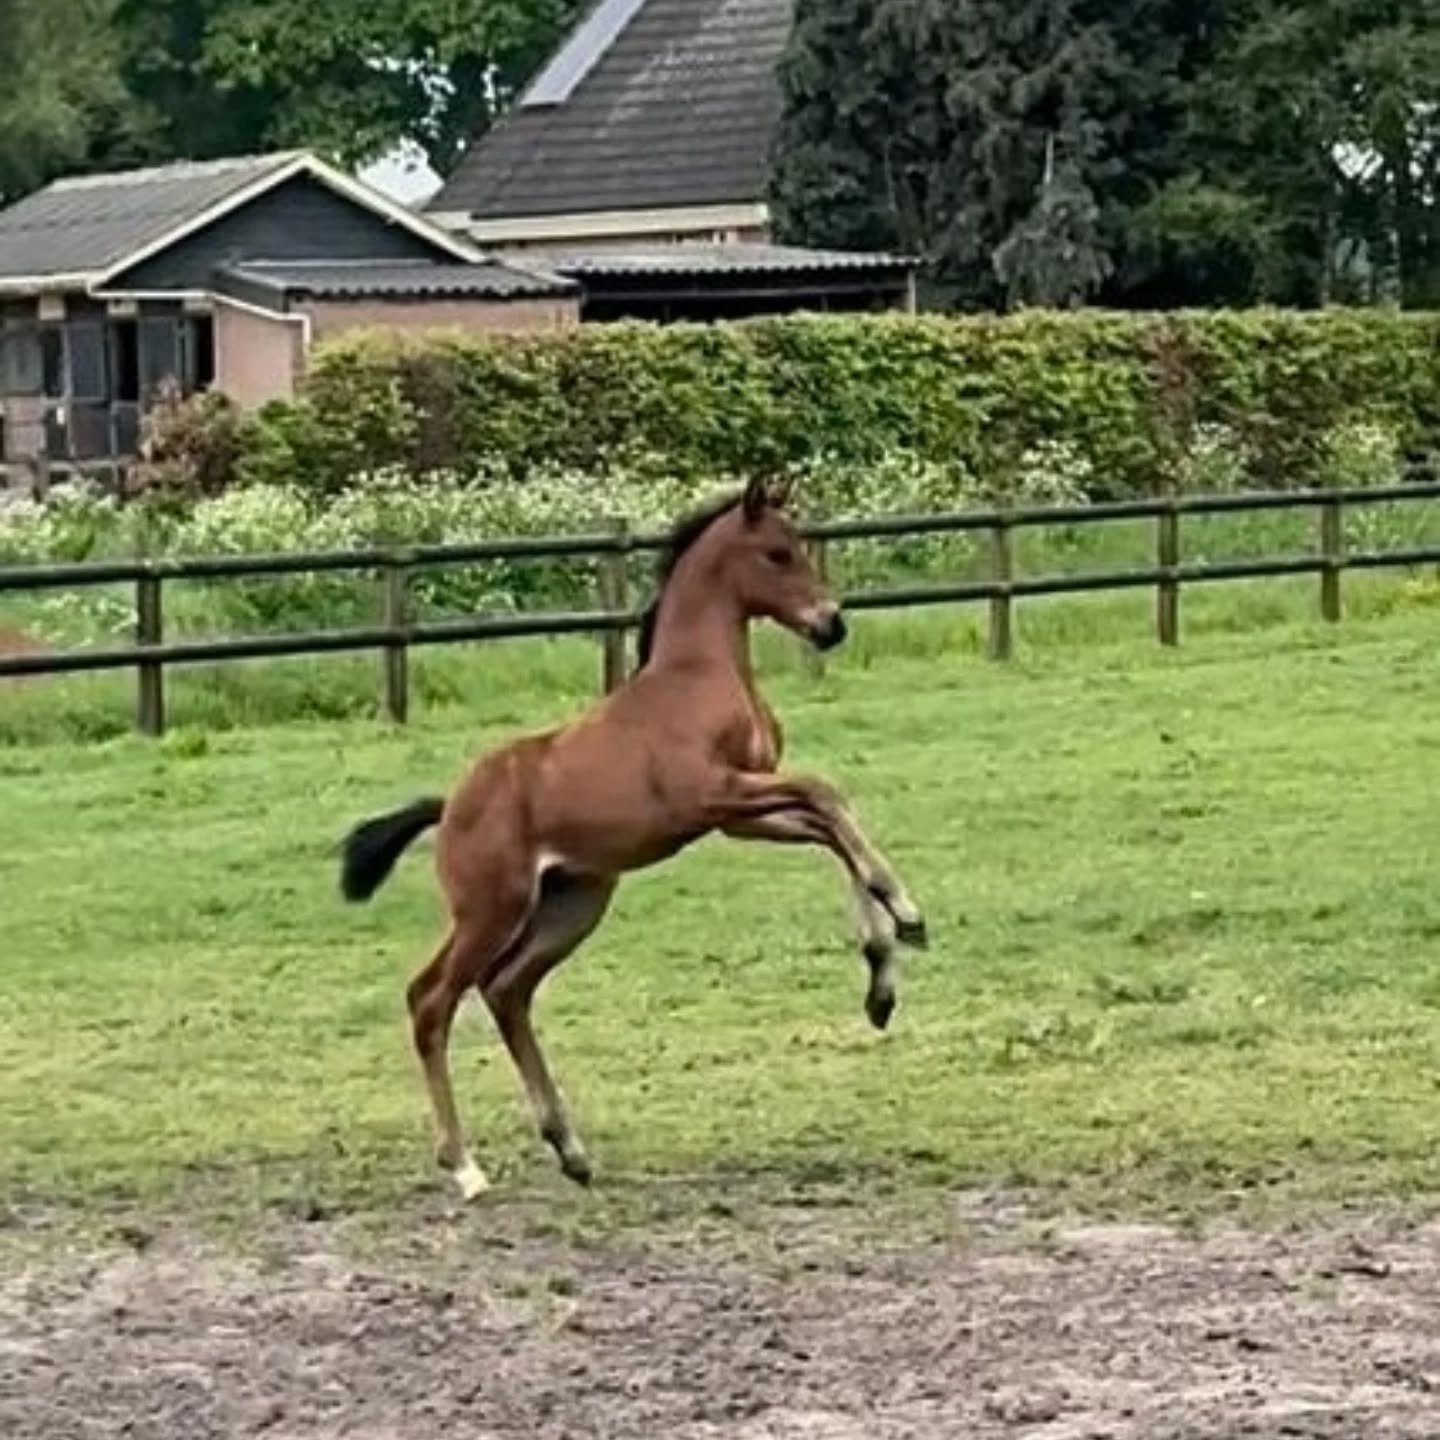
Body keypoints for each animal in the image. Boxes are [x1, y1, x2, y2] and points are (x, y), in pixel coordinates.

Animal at [338, 475, 928, 1200]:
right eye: (777, 553)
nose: (831, 625)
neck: (699, 676)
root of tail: (450, 807)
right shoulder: (715, 794)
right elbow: (827, 795)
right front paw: (904, 911)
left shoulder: (740, 814)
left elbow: (830, 827)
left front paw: (882, 979)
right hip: (491, 909)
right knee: (431, 1000)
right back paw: (466, 1167)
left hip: (572, 903)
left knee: (507, 991)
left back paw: (571, 1149)